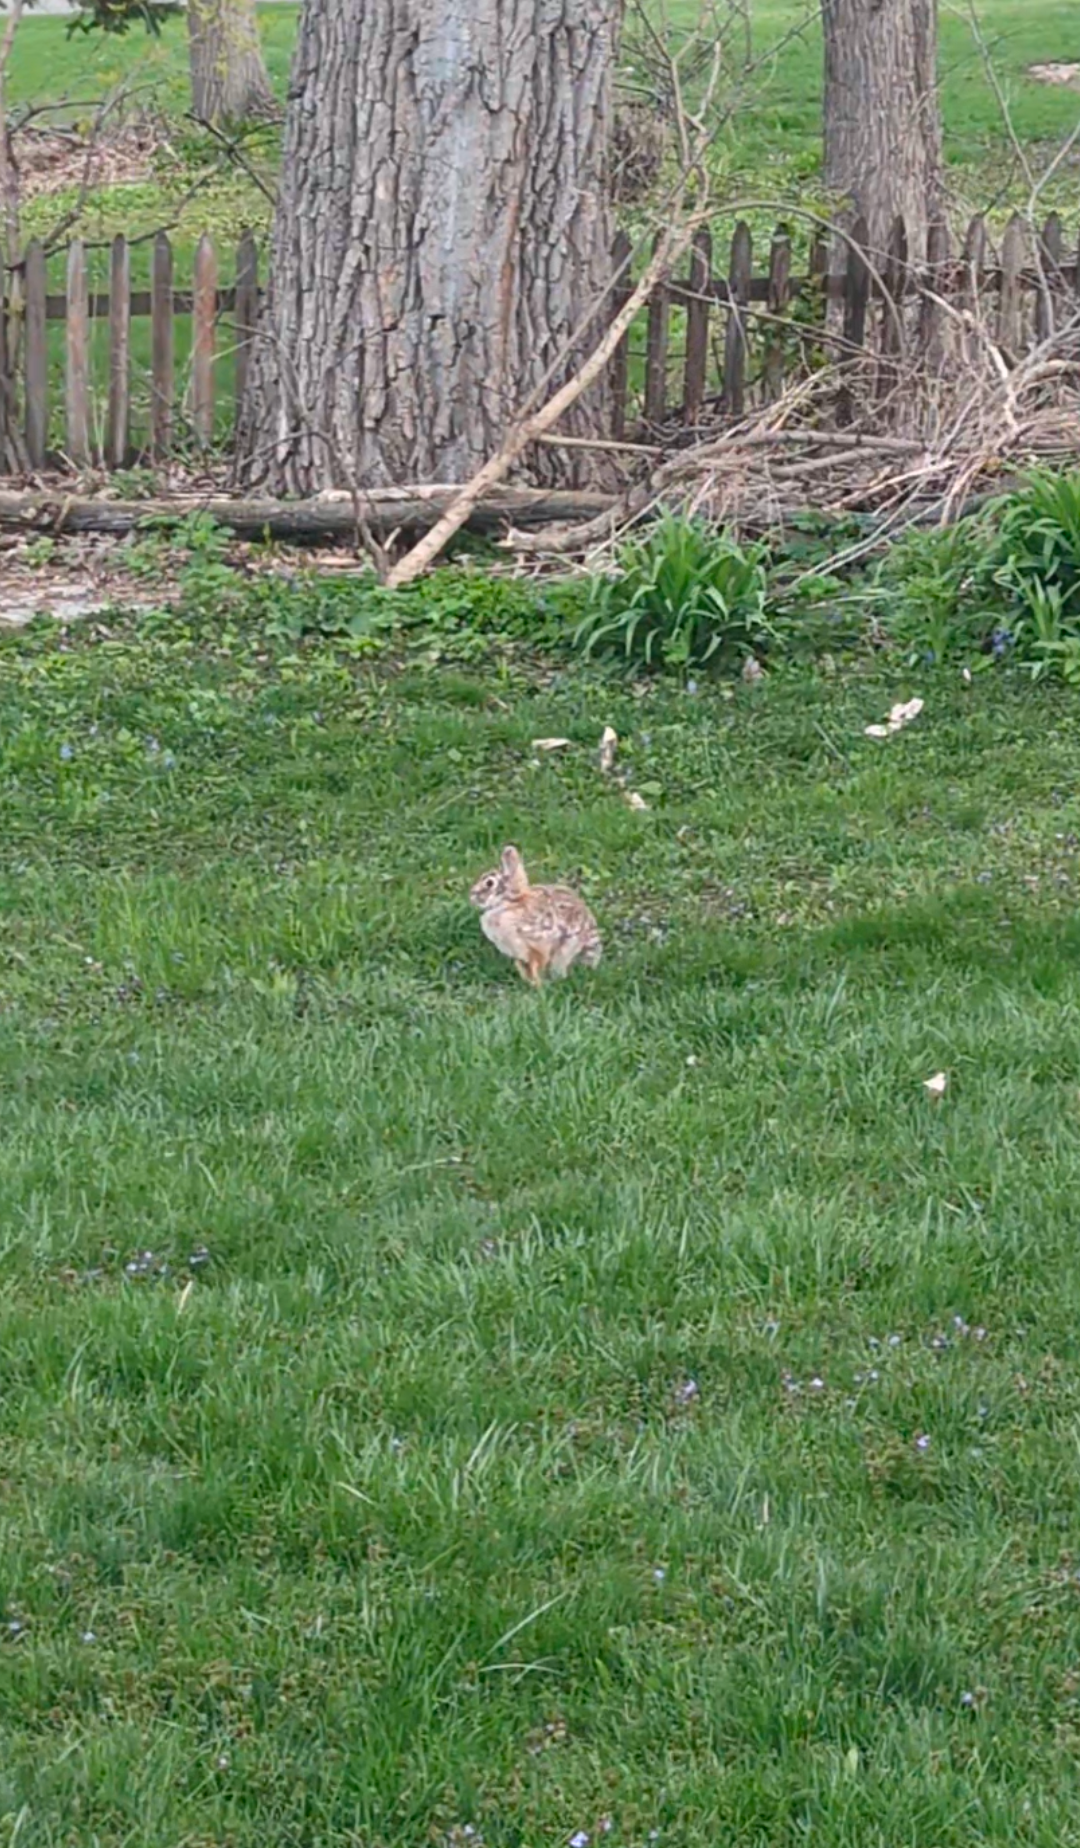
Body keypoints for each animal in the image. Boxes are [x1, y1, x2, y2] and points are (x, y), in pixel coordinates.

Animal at [469, 845, 602, 987]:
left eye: (489, 883)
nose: (472, 895)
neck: (510, 904)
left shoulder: (538, 942)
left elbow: (538, 964)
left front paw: (537, 984)